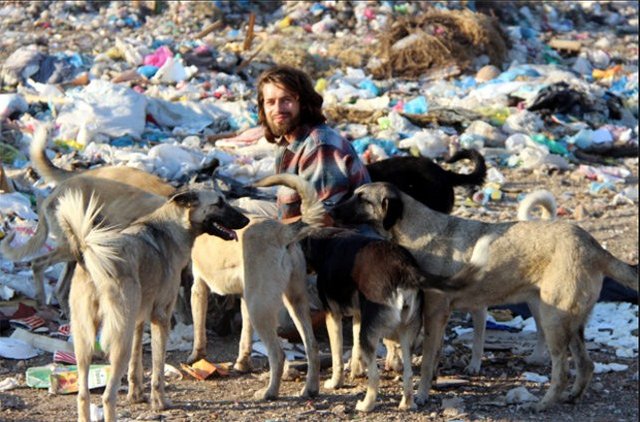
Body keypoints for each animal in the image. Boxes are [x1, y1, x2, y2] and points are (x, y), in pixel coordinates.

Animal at [57, 188, 250, 422]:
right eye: (219, 203)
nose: (246, 220)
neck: (173, 226)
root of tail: (90, 255)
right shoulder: (161, 317)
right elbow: (157, 368)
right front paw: (159, 403)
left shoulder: (139, 321)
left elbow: (136, 364)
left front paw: (136, 395)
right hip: (119, 340)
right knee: (107, 397)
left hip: (84, 342)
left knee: (83, 395)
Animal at [252, 174, 488, 412]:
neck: (329, 239)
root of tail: (404, 269)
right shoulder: (359, 315)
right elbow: (355, 346)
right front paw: (356, 369)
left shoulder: (333, 315)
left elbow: (337, 355)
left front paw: (336, 381)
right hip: (406, 332)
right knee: (409, 373)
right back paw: (407, 402)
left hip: (374, 333)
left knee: (376, 377)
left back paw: (366, 404)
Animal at [332, 182, 636, 412]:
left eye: (361, 198)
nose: (330, 208)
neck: (414, 228)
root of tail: (594, 247)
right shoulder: (439, 317)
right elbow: (434, 355)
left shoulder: (434, 314)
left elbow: (428, 360)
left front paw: (421, 394)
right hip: (571, 324)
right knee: (586, 364)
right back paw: (573, 396)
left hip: (553, 320)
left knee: (561, 371)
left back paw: (543, 404)